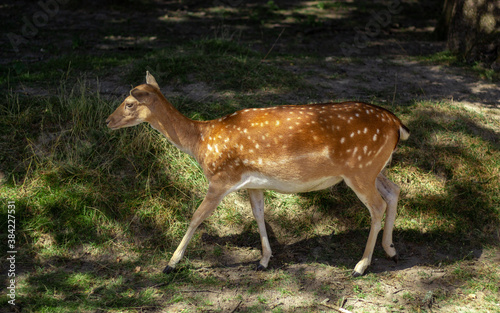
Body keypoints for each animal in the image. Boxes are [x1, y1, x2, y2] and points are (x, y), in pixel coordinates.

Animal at [106, 71, 410, 276]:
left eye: (129, 103)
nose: (108, 121)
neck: (201, 143)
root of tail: (397, 123)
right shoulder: (253, 183)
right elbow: (259, 214)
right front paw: (263, 261)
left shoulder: (220, 179)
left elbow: (196, 217)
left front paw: (170, 263)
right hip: (373, 168)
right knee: (394, 191)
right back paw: (391, 250)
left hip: (359, 169)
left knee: (377, 205)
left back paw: (361, 266)